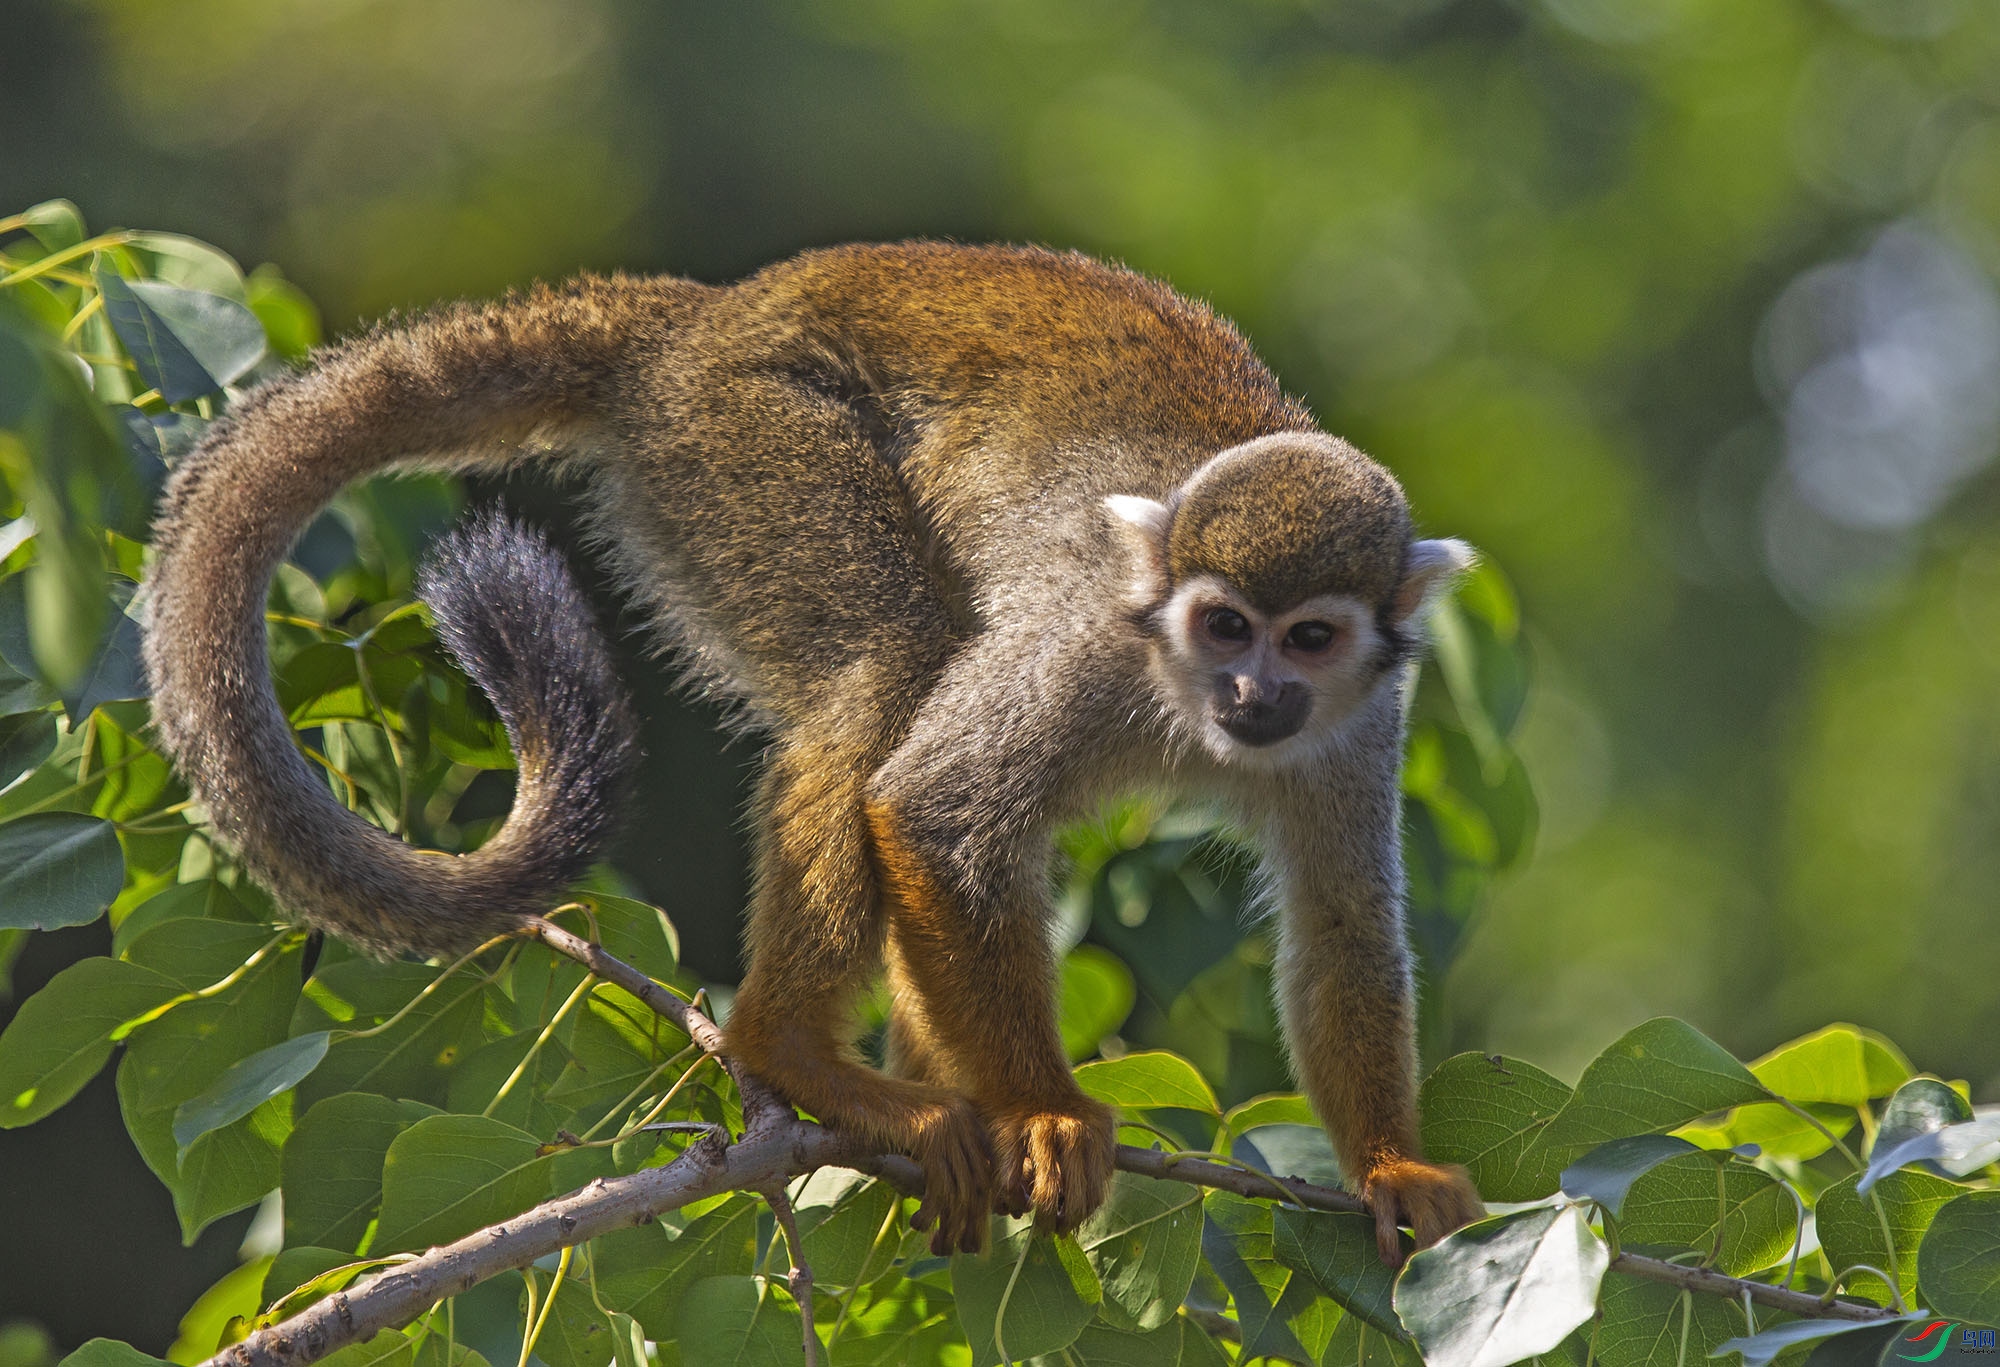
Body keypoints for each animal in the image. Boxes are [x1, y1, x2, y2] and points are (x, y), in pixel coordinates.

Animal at [145, 242, 1488, 1263]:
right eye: (1222, 624)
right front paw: (1044, 1108)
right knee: (884, 670)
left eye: (1306, 636)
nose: (1254, 690)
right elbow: (934, 808)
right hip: (739, 445)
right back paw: (791, 1054)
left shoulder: (1364, 719)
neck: (1178, 698)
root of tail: (700, 317)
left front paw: (1391, 1163)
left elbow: (1344, 924)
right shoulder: (1086, 642)